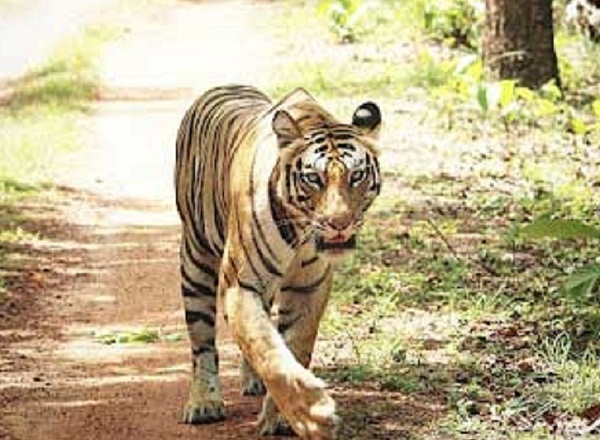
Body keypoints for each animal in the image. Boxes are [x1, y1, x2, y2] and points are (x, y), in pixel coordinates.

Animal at [175, 85, 382, 439]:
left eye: (357, 176)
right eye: (313, 178)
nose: (340, 223)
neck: (299, 230)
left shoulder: (308, 288)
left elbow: (294, 346)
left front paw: (282, 417)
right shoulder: (238, 285)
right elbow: (266, 348)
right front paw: (313, 415)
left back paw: (253, 382)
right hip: (196, 263)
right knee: (202, 343)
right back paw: (203, 402)